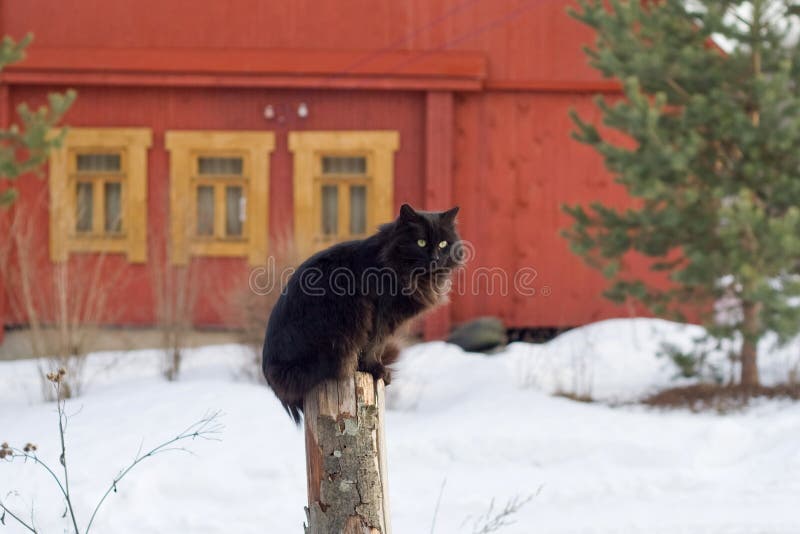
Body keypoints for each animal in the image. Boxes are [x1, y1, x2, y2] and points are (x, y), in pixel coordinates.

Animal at [262, 203, 462, 426]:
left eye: (443, 244)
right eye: (421, 242)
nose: (435, 258)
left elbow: (376, 345)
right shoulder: (378, 313)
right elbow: (374, 345)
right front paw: (376, 370)